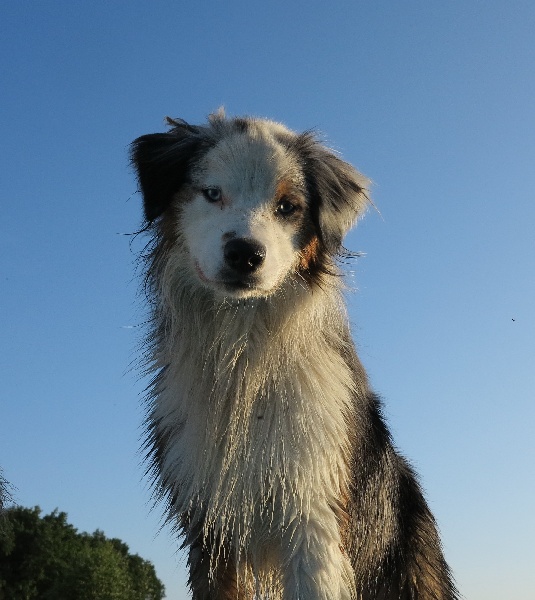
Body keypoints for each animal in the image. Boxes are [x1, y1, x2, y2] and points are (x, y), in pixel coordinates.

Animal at [131, 110, 460, 596]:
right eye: (212, 193)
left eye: (287, 206)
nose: (245, 253)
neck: (245, 350)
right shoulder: (211, 525)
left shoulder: (314, 513)